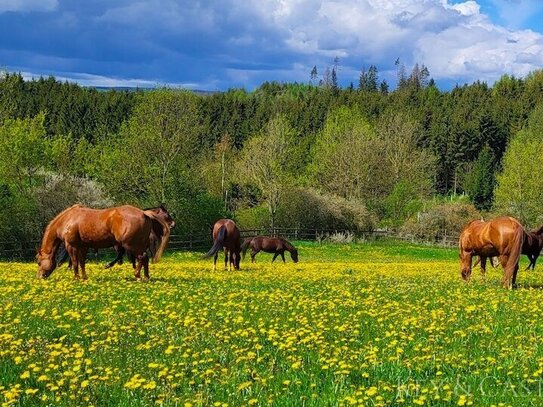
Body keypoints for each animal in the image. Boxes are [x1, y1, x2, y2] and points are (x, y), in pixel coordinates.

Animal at [37, 204, 170, 280]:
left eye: (38, 262)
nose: (38, 277)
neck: (69, 218)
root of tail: (144, 213)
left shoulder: (72, 246)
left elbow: (74, 263)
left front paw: (76, 278)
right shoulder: (83, 247)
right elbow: (81, 262)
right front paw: (84, 277)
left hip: (132, 245)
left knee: (142, 258)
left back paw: (137, 275)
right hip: (140, 245)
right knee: (145, 258)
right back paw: (146, 277)